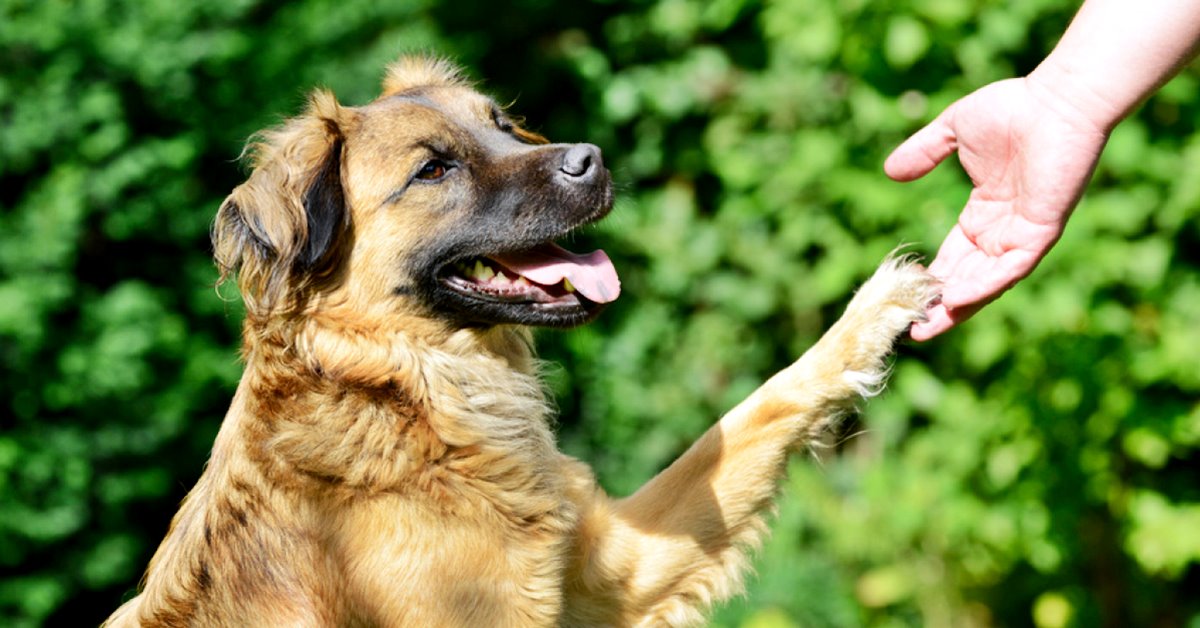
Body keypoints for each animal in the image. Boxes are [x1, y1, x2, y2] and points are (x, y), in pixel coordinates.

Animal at [105, 56, 936, 624]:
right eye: (433, 170)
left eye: (500, 126)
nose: (592, 160)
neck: (409, 394)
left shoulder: (611, 570)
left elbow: (752, 414)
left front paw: (873, 312)